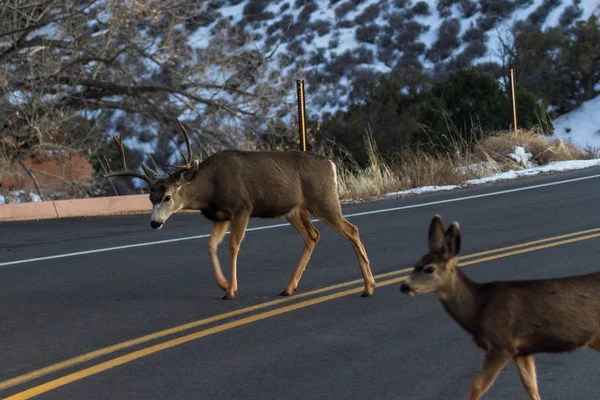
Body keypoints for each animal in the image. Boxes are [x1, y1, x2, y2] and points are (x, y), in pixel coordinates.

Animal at [103, 120, 376, 298]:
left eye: (168, 196)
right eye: (150, 197)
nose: (155, 223)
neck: (209, 188)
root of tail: (330, 165)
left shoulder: (242, 207)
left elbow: (234, 245)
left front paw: (231, 290)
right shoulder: (219, 216)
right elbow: (211, 245)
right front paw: (223, 285)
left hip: (323, 200)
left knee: (351, 230)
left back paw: (368, 287)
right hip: (294, 209)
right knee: (313, 236)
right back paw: (289, 287)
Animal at [398, 216, 600, 400]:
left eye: (429, 269)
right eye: (415, 265)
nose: (404, 286)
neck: (478, 308)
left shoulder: (501, 344)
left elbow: (476, 387)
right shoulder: (522, 350)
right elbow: (531, 386)